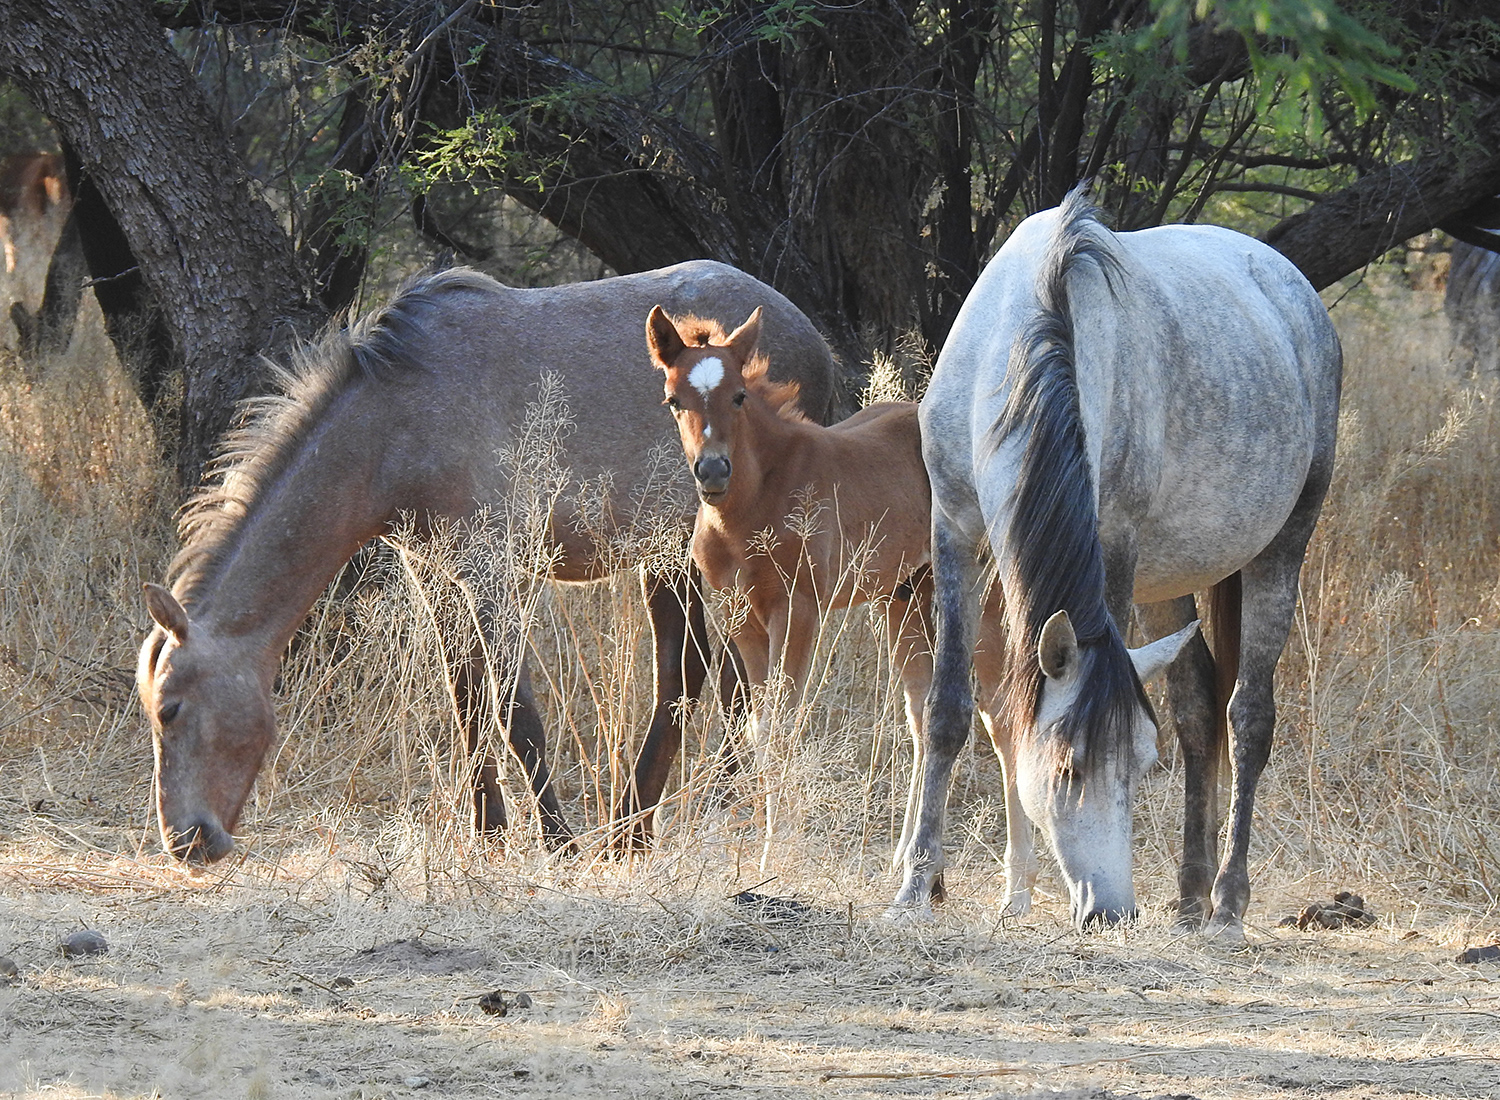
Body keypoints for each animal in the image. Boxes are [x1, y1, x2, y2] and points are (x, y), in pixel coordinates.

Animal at [137, 262, 838, 863]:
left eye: (170, 709)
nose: (185, 843)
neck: (397, 422)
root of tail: (810, 335)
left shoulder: (492, 574)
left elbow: (513, 713)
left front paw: (556, 841)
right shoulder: (436, 577)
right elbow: (468, 704)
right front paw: (491, 836)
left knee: (711, 675)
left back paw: (660, 823)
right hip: (671, 559)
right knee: (707, 675)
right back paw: (668, 821)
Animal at [645, 306, 1032, 893]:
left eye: (738, 395)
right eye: (673, 399)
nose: (712, 471)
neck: (755, 501)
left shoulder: (798, 608)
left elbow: (784, 722)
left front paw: (775, 853)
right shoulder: (741, 617)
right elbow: (759, 728)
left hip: (976, 592)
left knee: (1000, 713)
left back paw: (1017, 888)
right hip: (903, 597)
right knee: (921, 714)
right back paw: (909, 859)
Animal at [891, 184, 1341, 938]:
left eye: (1139, 766)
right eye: (1067, 769)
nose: (1110, 912)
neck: (1025, 359)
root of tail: (1293, 288)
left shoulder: (1116, 550)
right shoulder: (951, 529)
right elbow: (949, 708)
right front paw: (915, 887)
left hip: (1283, 547)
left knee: (1248, 716)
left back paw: (1226, 904)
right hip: (1174, 579)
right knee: (1197, 706)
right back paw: (1188, 898)